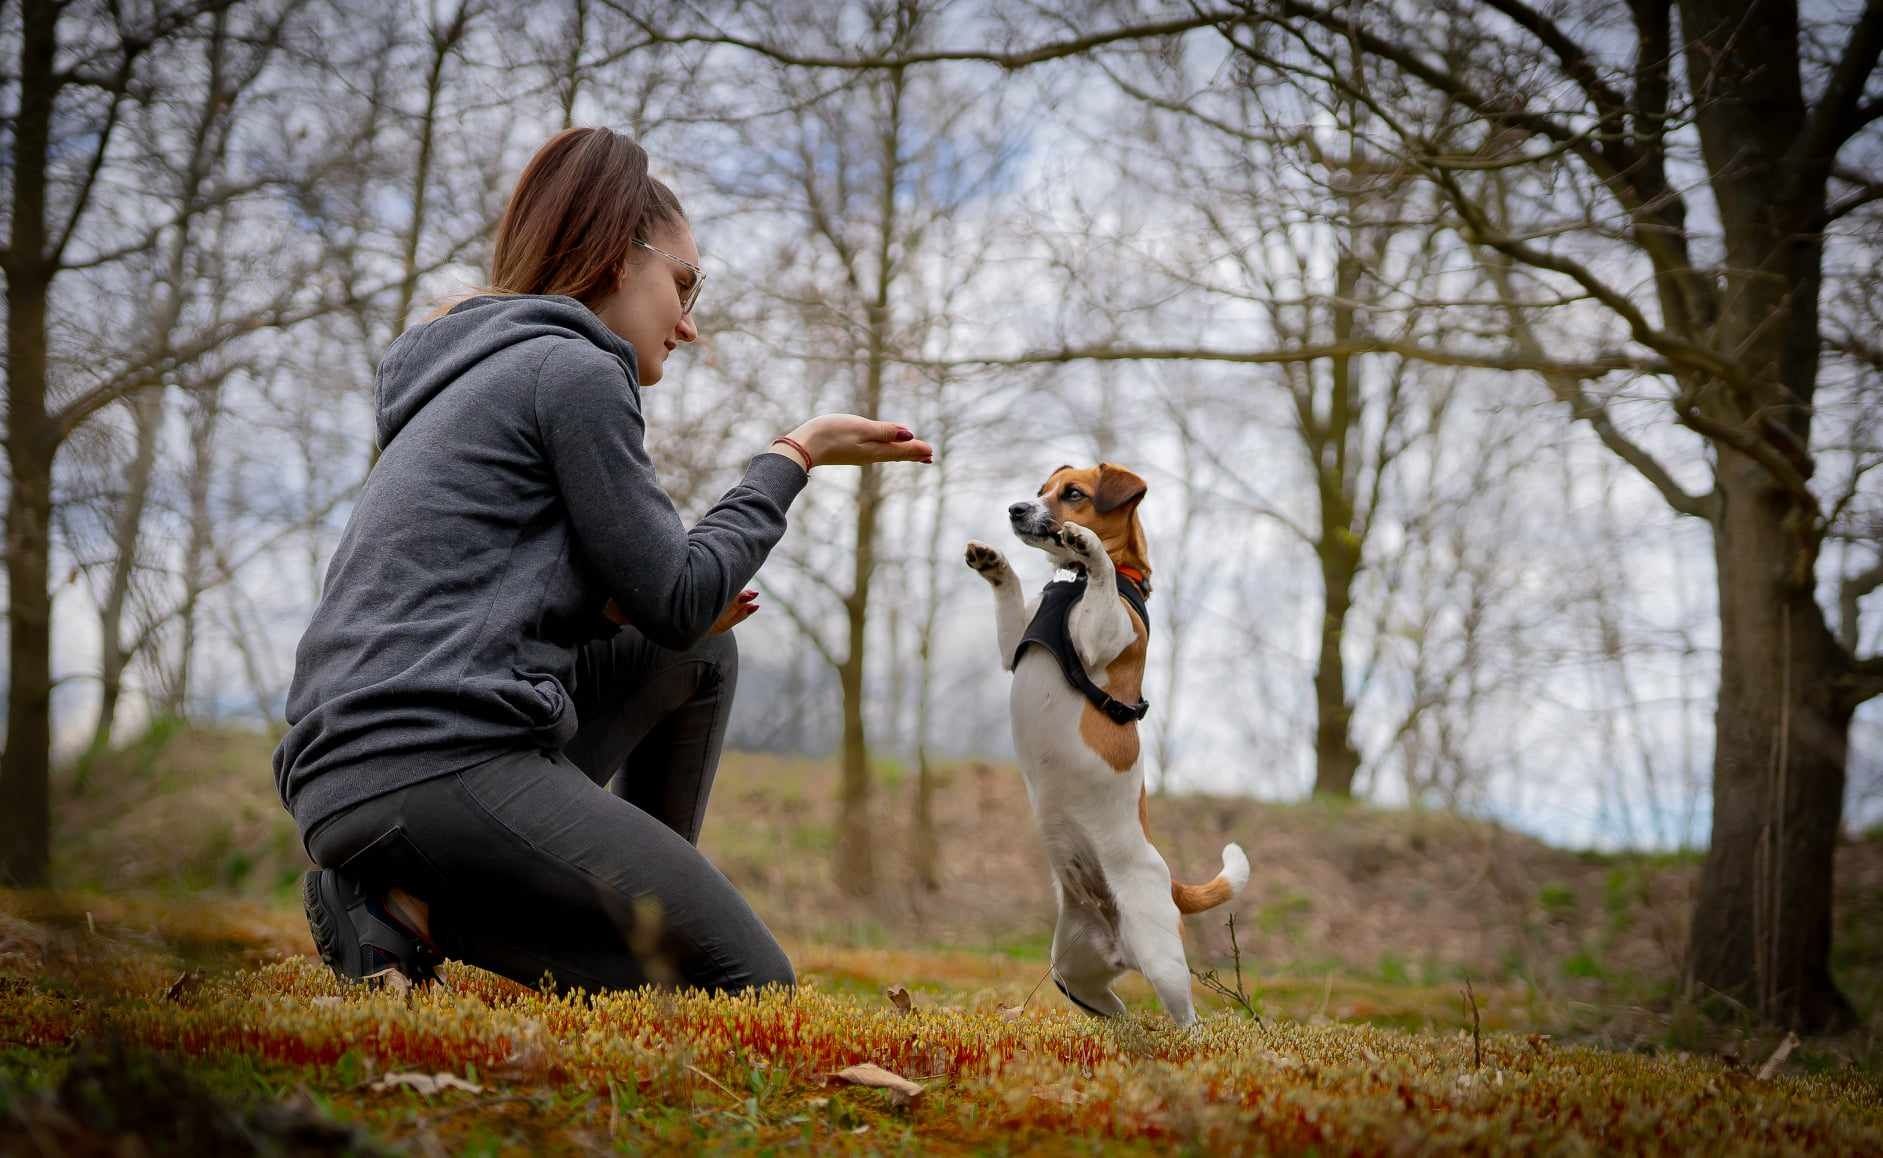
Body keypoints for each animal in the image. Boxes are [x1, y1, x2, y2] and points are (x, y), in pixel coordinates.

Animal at [971, 461, 1250, 1024]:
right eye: (1041, 491)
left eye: (1073, 494)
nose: (1015, 509)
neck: (1072, 584)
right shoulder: (1013, 645)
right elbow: (1010, 601)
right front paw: (995, 564)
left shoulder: (1101, 635)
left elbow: (1097, 567)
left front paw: (1088, 544)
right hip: (1072, 971)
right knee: (1115, 1009)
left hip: (1162, 959)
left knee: (1187, 1018)